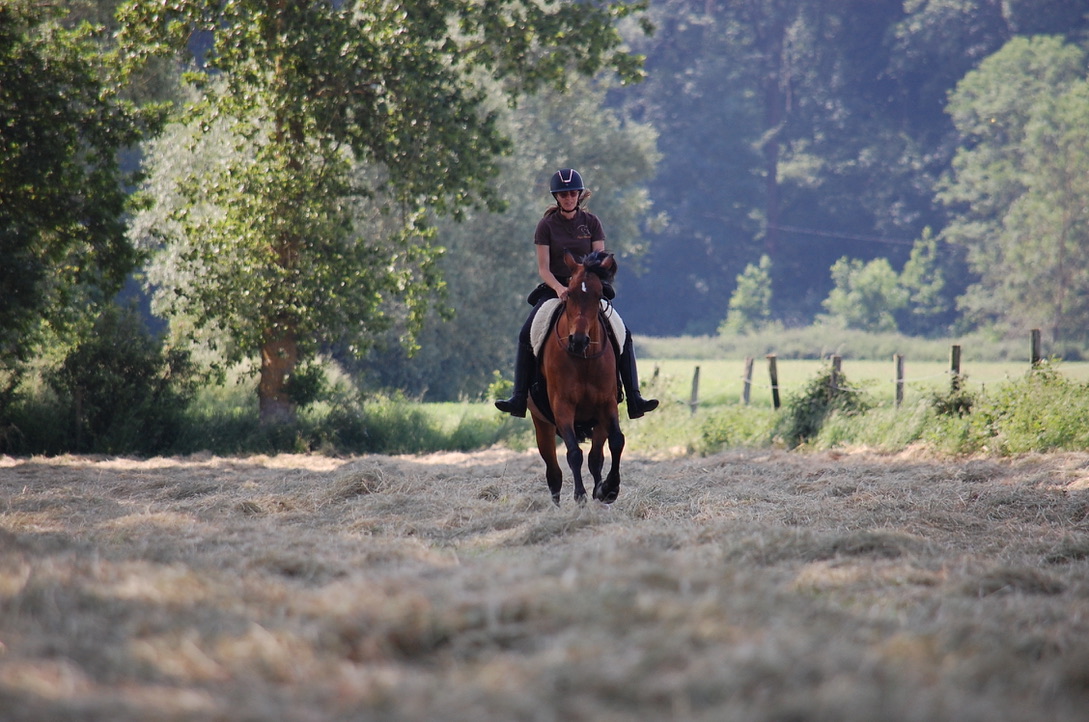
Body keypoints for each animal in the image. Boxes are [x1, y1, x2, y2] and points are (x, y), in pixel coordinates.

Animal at [529, 250, 624, 506]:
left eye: (599, 294)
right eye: (569, 293)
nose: (578, 340)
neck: (584, 358)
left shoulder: (607, 404)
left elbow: (617, 441)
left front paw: (609, 489)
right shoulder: (562, 406)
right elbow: (573, 452)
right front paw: (580, 496)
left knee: (596, 457)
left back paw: (599, 491)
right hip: (542, 424)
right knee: (553, 470)